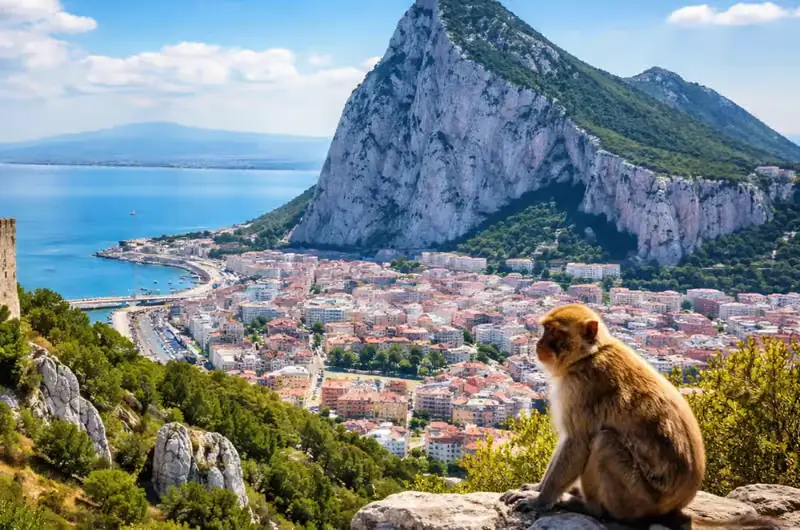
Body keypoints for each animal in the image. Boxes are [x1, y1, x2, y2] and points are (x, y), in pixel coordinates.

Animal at [501, 304, 778, 530]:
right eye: (544, 330)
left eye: (554, 332)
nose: (538, 344)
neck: (589, 354)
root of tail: (673, 509)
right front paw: (535, 488)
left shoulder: (581, 387)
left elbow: (577, 442)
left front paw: (540, 499)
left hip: (637, 498)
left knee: (603, 443)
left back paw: (588, 507)